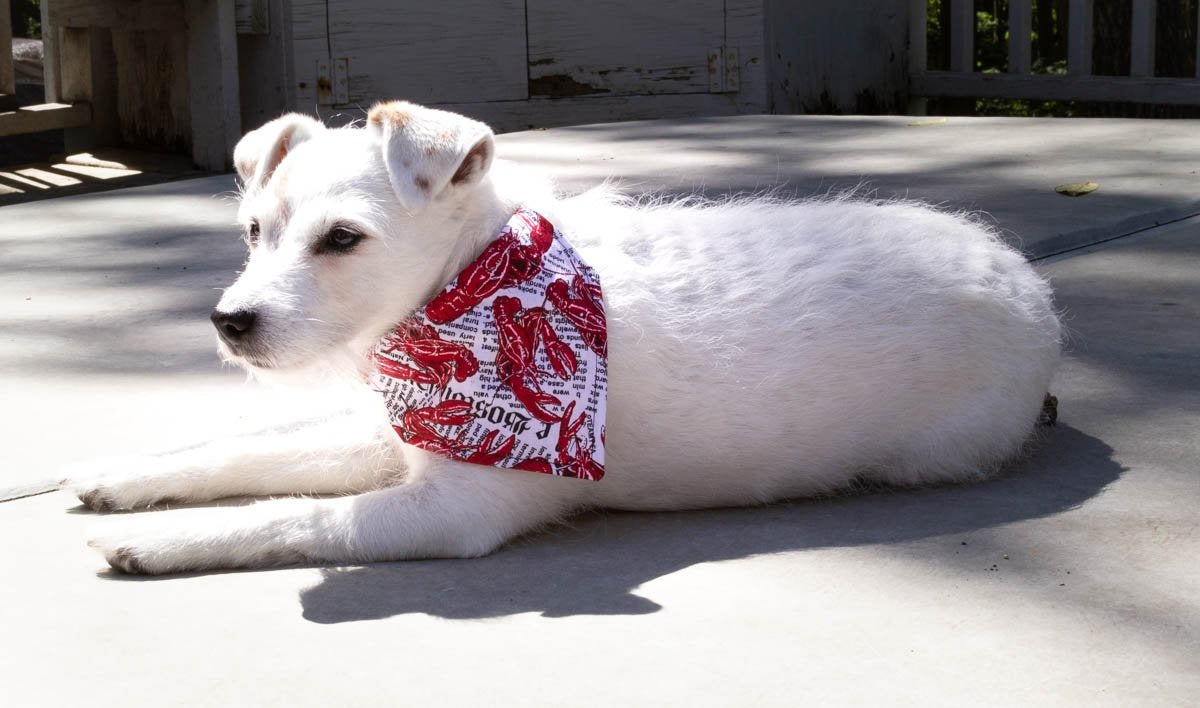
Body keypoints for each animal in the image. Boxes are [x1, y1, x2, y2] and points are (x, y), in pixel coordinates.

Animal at [72, 101, 1060, 576]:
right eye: (253, 230)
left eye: (343, 239)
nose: (229, 322)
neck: (467, 289)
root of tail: (1031, 286)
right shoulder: (394, 431)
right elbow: (252, 452)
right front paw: (127, 480)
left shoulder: (455, 507)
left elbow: (288, 516)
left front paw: (163, 544)